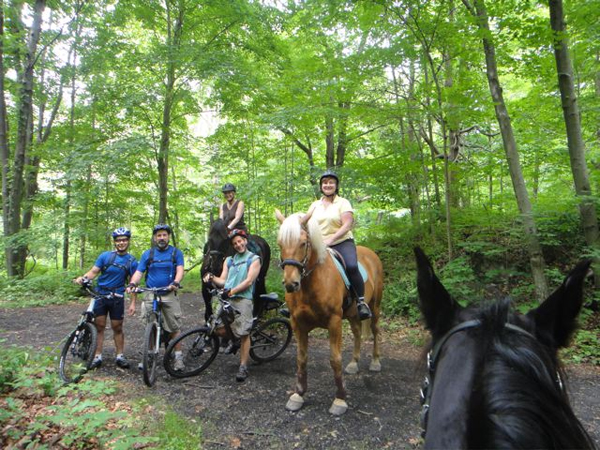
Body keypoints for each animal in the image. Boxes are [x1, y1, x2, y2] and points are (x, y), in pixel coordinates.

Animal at [274, 211, 382, 414]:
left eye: (303, 243)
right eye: (280, 243)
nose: (291, 284)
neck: (311, 284)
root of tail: (370, 253)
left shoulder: (334, 322)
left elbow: (335, 359)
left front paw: (340, 399)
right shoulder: (298, 323)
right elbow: (301, 359)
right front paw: (298, 395)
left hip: (375, 306)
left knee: (375, 331)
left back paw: (375, 362)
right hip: (352, 314)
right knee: (357, 333)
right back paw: (354, 363)